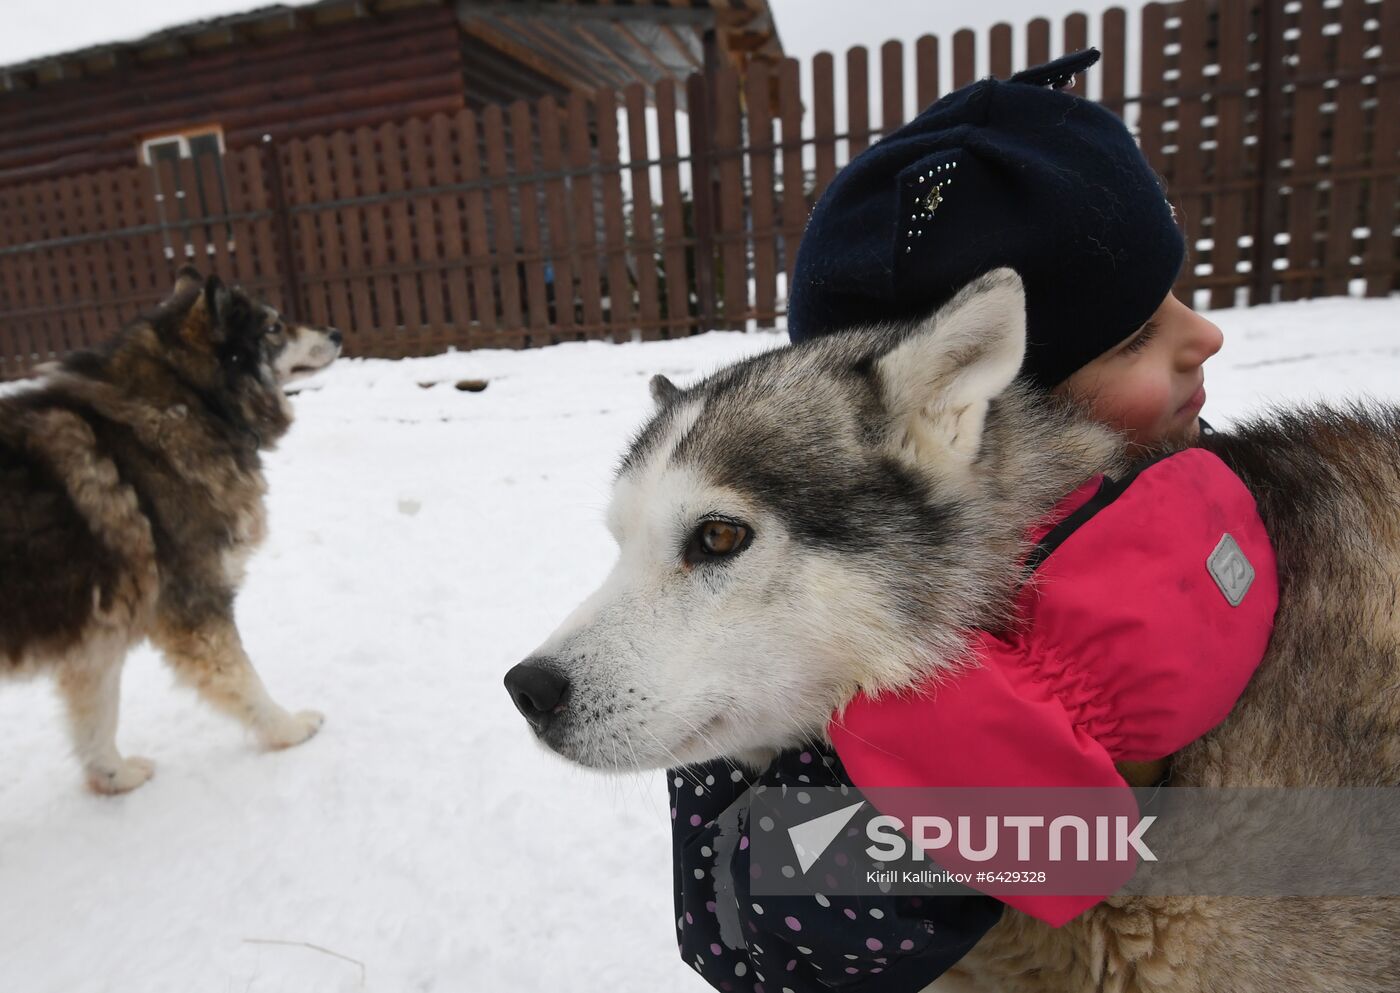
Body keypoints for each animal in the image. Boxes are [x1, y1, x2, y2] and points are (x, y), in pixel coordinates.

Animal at [0, 267, 338, 795]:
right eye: (273, 326)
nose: (337, 332)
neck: (186, 402)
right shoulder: (195, 610)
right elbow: (247, 681)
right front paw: (288, 730)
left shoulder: (98, 638)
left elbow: (98, 719)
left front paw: (113, 778)